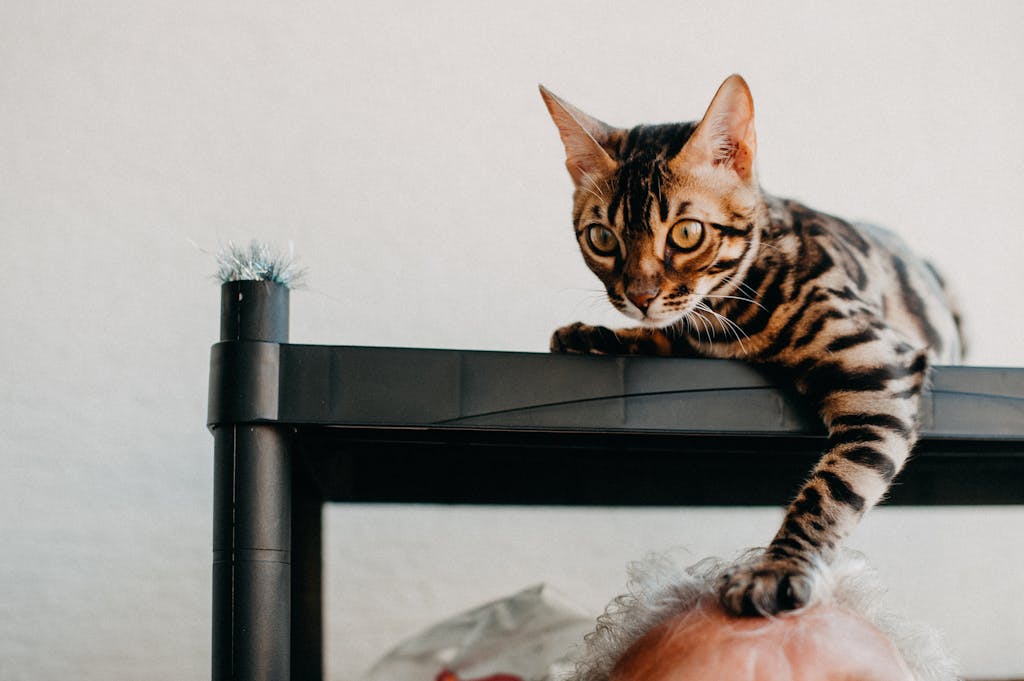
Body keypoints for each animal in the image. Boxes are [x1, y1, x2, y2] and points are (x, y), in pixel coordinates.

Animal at [540, 75, 962, 614]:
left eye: (687, 232)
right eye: (602, 238)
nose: (639, 296)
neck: (729, 320)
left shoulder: (879, 364)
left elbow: (832, 488)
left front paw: (776, 567)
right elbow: (666, 334)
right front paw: (596, 335)